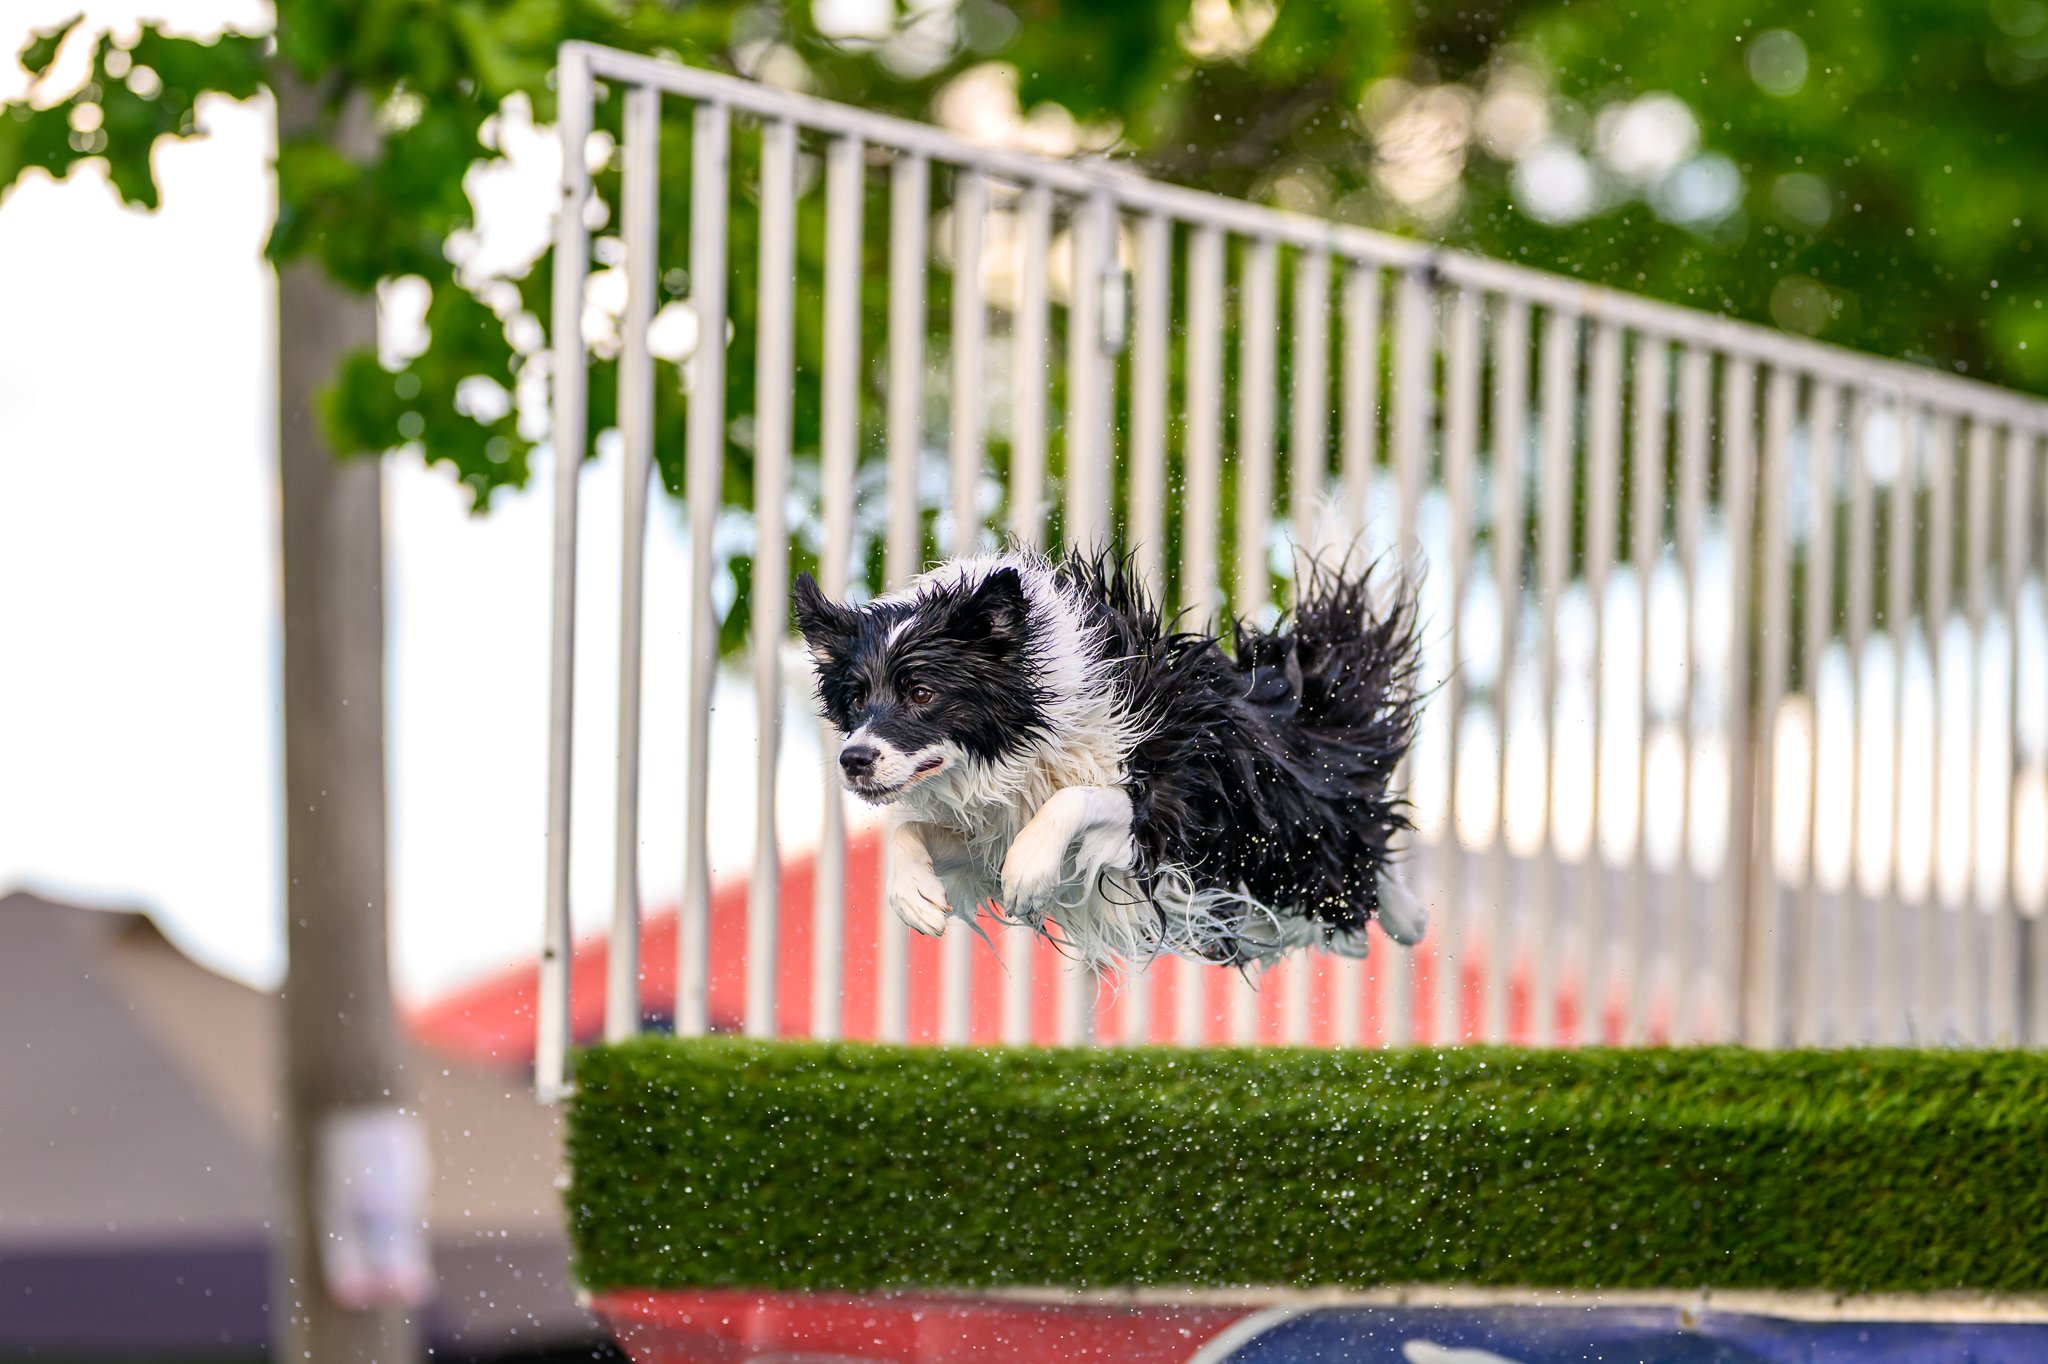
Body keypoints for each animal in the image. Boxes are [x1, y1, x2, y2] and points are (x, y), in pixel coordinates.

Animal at [792, 548, 1425, 973]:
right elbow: (909, 827)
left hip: (1281, 825)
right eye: (855, 699)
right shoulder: (993, 828)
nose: (853, 759)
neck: (1030, 734)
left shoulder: (1162, 805)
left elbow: (1079, 798)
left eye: (922, 693)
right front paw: (915, 896)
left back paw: (1406, 919)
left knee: (1356, 846)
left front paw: (1029, 871)